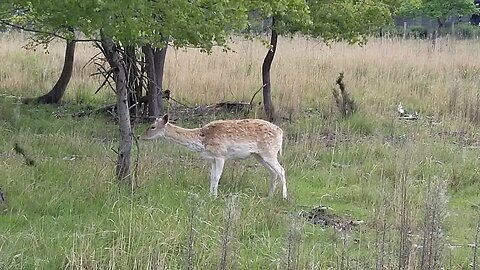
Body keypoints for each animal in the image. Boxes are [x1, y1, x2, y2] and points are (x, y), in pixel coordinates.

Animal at [141, 114, 286, 198]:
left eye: (152, 126)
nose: (141, 136)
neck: (201, 141)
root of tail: (281, 132)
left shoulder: (220, 154)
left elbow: (217, 177)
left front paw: (215, 197)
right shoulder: (212, 159)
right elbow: (211, 177)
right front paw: (210, 195)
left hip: (269, 153)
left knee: (281, 170)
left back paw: (284, 197)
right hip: (259, 155)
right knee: (273, 172)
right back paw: (270, 196)